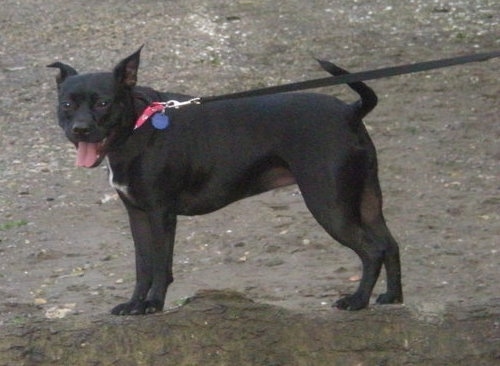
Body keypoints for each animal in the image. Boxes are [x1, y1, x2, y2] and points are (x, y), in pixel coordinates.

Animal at [47, 48, 402, 316]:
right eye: (67, 104)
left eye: (103, 103)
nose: (79, 129)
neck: (138, 127)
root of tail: (351, 112)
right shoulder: (137, 214)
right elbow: (143, 265)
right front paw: (135, 303)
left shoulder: (161, 214)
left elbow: (160, 264)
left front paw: (153, 304)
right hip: (367, 202)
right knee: (390, 244)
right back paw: (392, 298)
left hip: (329, 206)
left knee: (372, 251)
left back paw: (358, 301)